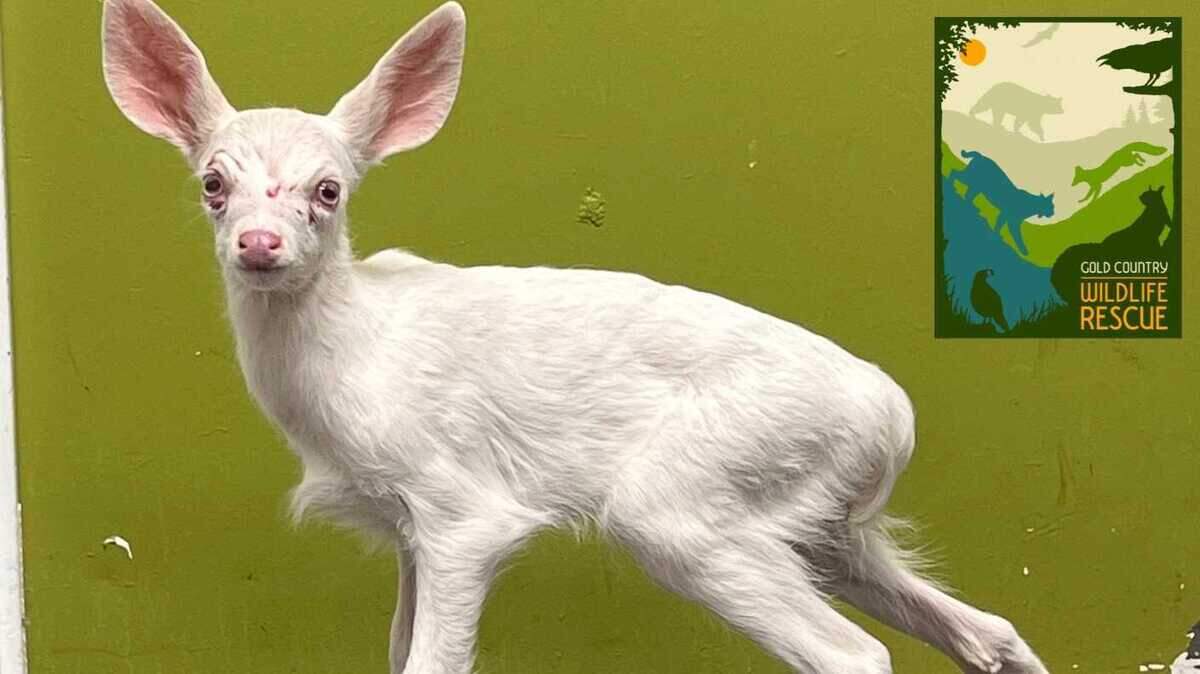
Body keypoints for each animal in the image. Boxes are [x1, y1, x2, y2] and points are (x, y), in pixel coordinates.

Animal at [100, 1, 1049, 672]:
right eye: (213, 183)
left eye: (329, 190)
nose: (260, 244)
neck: (355, 351)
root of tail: (894, 419)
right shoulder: (405, 529)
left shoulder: (461, 508)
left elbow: (434, 661)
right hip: (824, 530)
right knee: (988, 632)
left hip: (684, 505)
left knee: (857, 655)